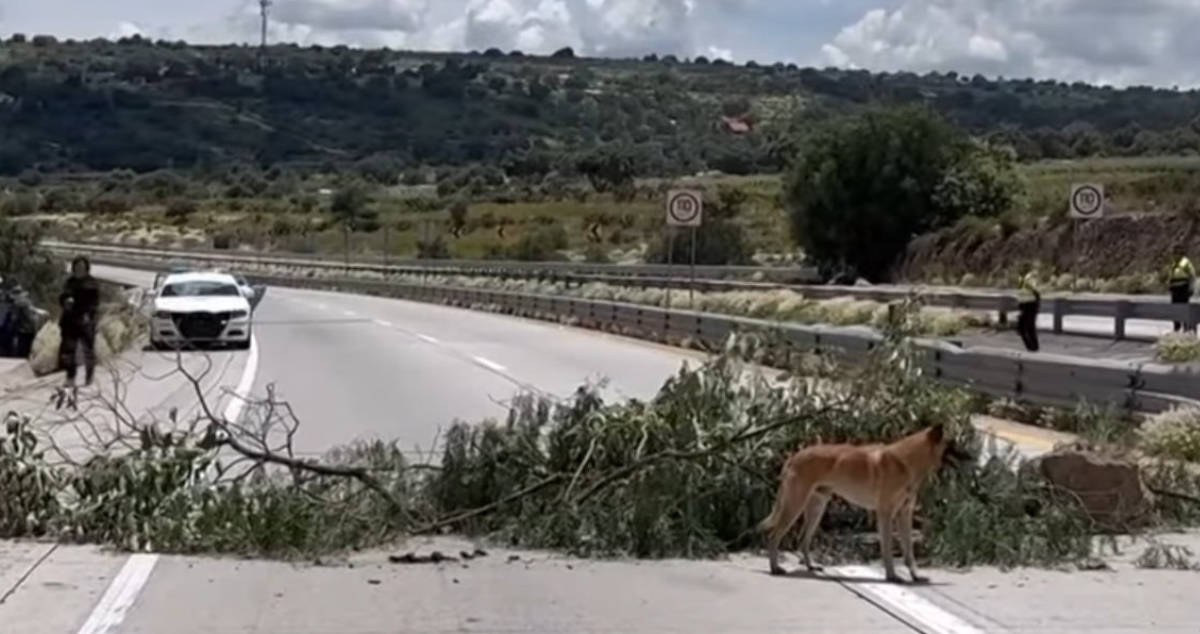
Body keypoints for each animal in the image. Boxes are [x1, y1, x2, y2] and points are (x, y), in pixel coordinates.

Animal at [758, 422, 955, 581]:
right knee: (773, 536)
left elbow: (909, 552)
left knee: (802, 539)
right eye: (952, 445)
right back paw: (774, 568)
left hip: (816, 508)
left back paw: (810, 566)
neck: (905, 461)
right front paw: (891, 576)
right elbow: (888, 550)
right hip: (795, 505)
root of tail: (794, 457)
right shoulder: (886, 514)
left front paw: (915, 575)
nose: (965, 454)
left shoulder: (904, 515)